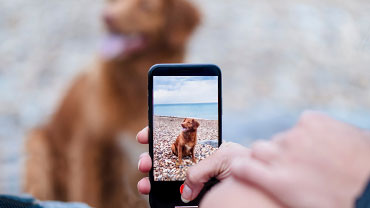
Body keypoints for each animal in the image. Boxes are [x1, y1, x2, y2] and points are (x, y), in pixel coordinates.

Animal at [23, 0, 199, 208]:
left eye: (146, 6)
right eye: (115, 2)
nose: (106, 17)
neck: (132, 83)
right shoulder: (89, 143)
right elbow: (87, 193)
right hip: (38, 147)